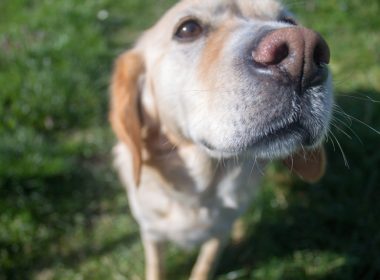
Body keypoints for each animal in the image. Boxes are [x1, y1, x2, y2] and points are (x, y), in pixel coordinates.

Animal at [108, 1, 332, 278]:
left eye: (289, 22)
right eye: (188, 28)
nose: (304, 52)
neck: (202, 190)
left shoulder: (219, 234)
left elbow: (205, 265)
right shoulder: (151, 232)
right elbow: (156, 267)